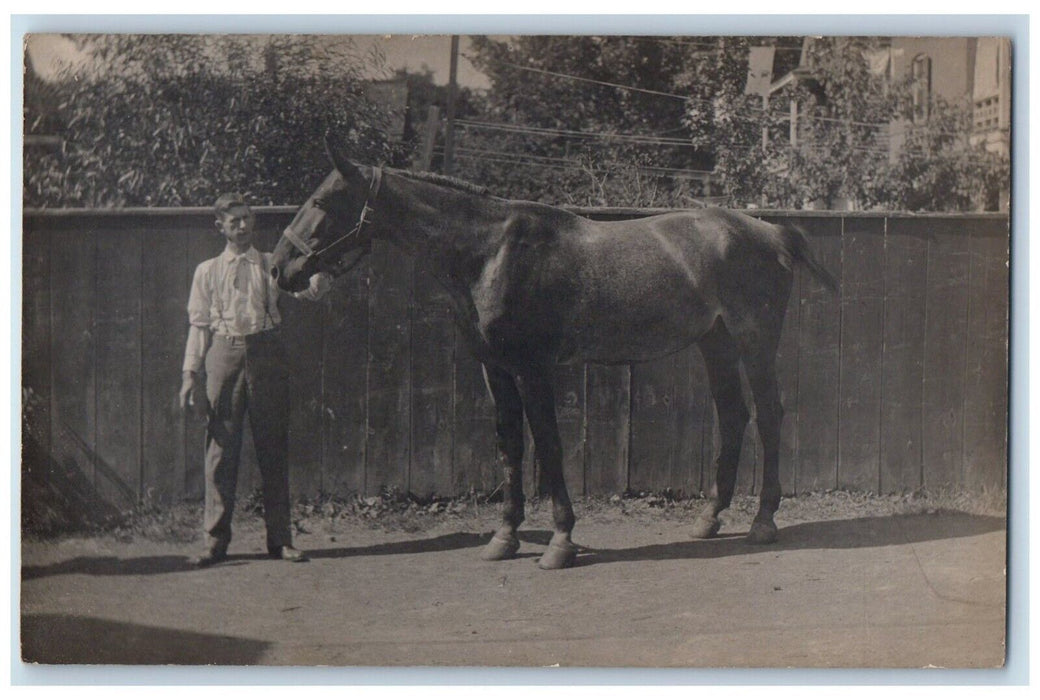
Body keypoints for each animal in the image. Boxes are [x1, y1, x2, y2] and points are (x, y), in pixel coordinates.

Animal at [270, 135, 836, 565]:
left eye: (321, 203)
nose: (279, 269)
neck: (490, 253)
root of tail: (769, 229)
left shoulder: (533, 369)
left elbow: (549, 445)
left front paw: (561, 542)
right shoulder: (495, 369)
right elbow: (510, 446)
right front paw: (504, 537)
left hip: (754, 341)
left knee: (768, 415)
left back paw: (764, 521)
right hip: (714, 342)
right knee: (733, 414)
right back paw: (709, 518)